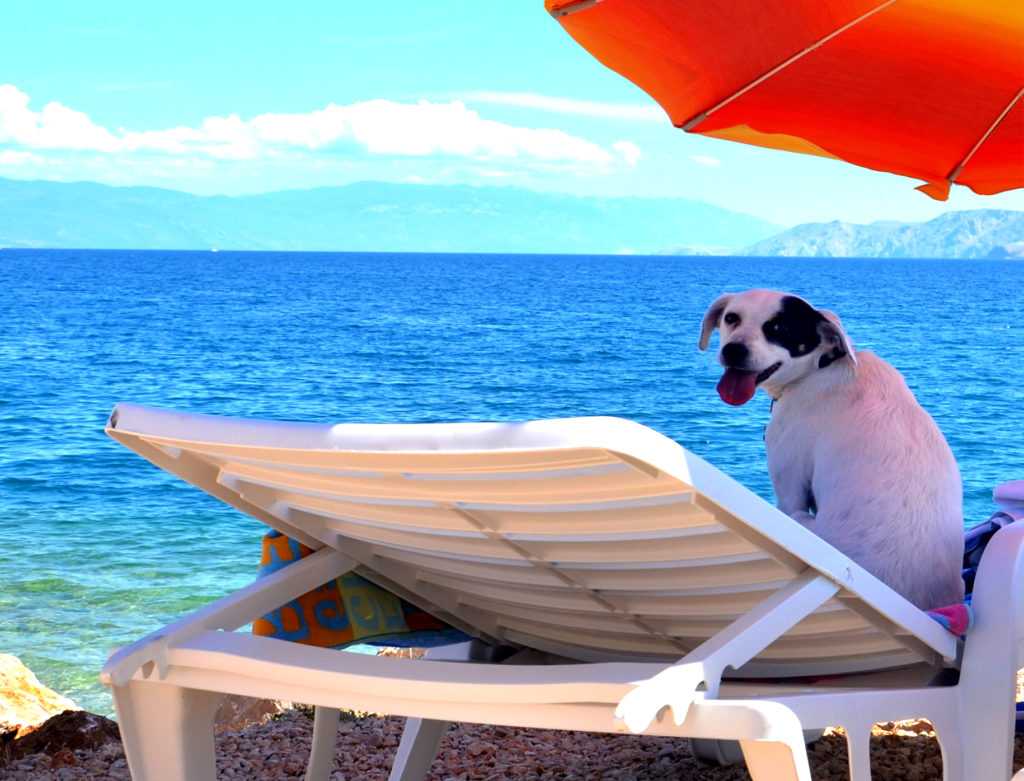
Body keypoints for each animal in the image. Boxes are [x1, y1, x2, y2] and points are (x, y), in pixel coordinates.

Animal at [700, 290, 962, 614]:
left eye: (780, 328)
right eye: (731, 318)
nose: (733, 350)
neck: (823, 365)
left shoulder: (790, 491)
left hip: (800, 519)